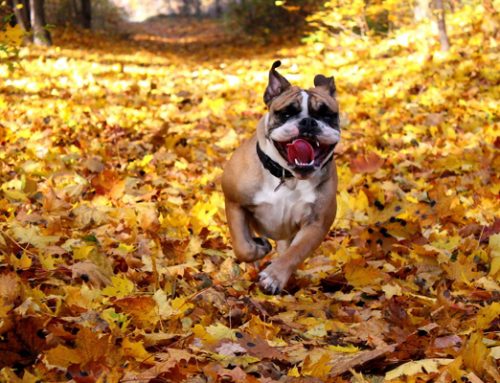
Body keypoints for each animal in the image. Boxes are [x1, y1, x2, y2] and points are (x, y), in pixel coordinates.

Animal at [222, 60, 340, 294]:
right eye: (286, 114)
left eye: (326, 115)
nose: (308, 122)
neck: (289, 177)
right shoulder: (234, 202)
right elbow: (242, 246)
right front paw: (258, 248)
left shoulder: (316, 224)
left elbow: (296, 252)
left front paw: (275, 276)